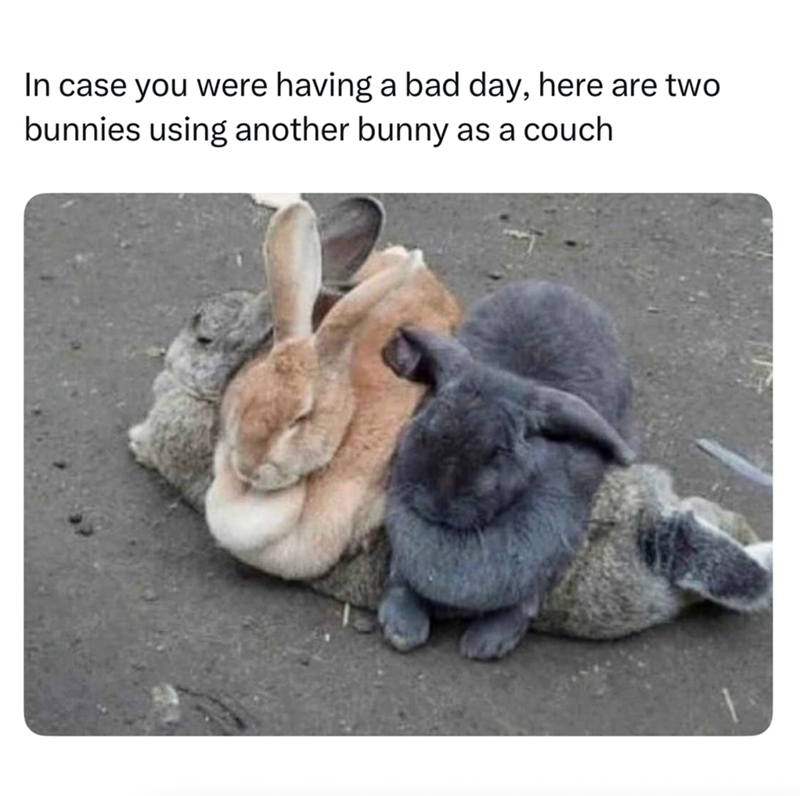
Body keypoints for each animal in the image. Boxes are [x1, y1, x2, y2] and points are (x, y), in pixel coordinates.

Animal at [376, 280, 642, 660]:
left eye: (498, 451)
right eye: (427, 425)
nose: (439, 504)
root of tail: (556, 286)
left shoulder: (558, 549)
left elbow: (526, 601)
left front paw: (486, 643)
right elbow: (400, 575)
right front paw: (402, 627)